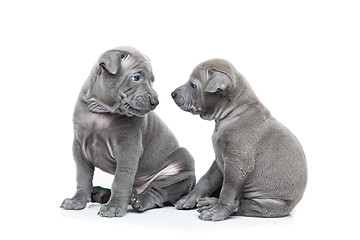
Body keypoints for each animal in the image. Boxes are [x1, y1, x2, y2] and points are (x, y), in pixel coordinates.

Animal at [59, 46, 194, 218]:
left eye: (152, 80)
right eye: (136, 77)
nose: (155, 102)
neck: (101, 111)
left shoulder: (128, 148)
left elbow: (121, 179)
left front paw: (114, 207)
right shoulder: (79, 147)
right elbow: (82, 177)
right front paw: (77, 200)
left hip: (181, 167)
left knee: (158, 191)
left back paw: (139, 200)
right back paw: (101, 194)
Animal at [172, 58, 306, 221]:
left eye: (193, 85)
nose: (172, 94)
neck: (233, 113)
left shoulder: (237, 163)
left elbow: (227, 190)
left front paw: (217, 212)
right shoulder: (219, 161)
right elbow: (206, 179)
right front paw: (189, 198)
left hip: (268, 204)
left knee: (241, 205)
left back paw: (213, 204)